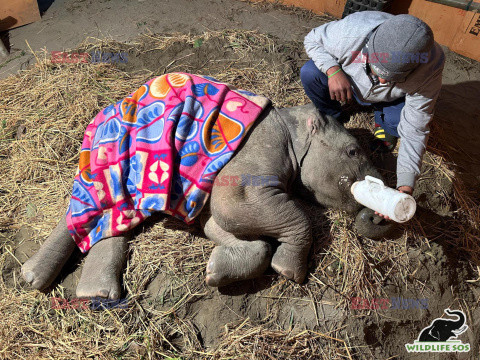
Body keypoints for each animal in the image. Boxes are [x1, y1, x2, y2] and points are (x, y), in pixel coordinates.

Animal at [21, 75, 390, 298]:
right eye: (353, 151)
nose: (379, 215)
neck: (294, 121)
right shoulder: (260, 149)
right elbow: (233, 204)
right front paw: (288, 271)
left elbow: (217, 222)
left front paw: (214, 272)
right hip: (112, 151)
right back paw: (41, 281)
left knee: (117, 215)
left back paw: (90, 292)